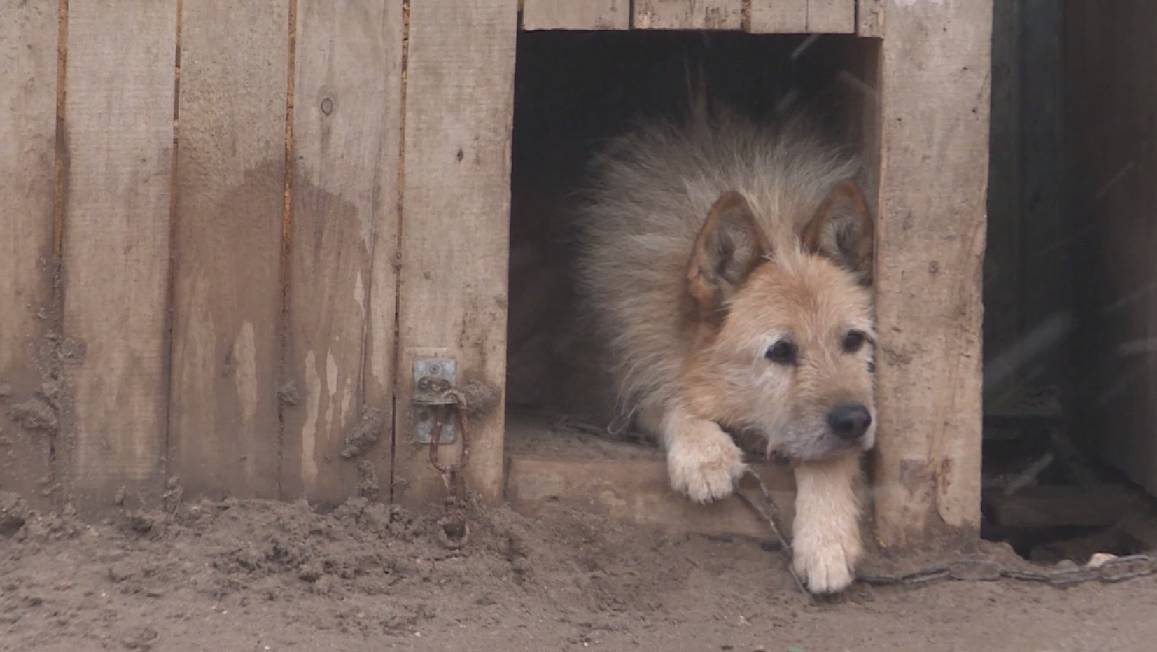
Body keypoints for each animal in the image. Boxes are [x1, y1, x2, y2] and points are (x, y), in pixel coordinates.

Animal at [578, 102, 874, 596]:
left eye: (853, 340)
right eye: (780, 351)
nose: (855, 420)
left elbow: (829, 458)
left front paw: (827, 537)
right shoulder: (636, 368)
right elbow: (668, 397)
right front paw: (704, 452)